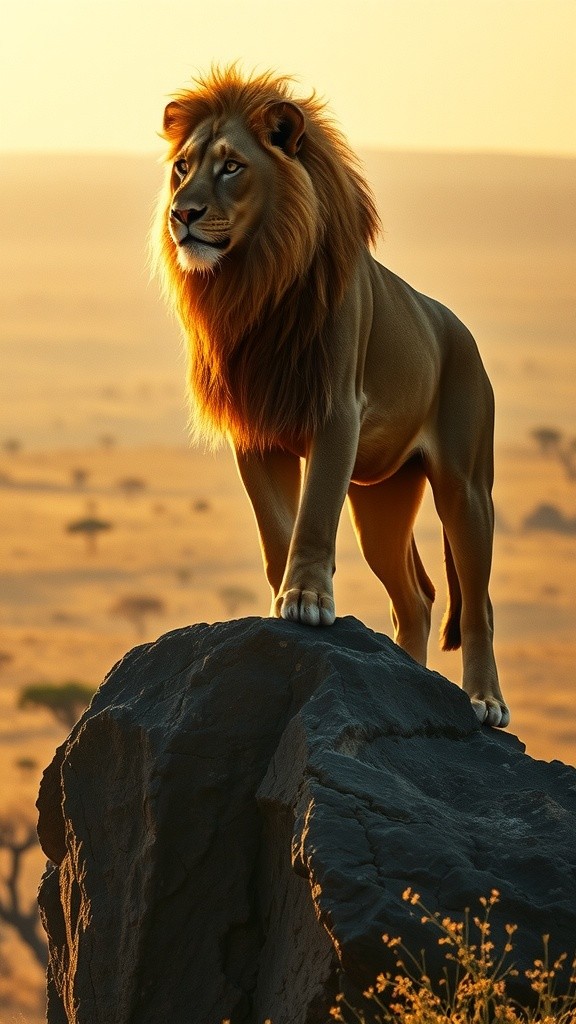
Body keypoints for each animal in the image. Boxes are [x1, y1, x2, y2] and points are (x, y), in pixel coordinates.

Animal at [153, 66, 509, 728]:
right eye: (182, 166)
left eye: (232, 166)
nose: (181, 213)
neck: (253, 280)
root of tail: (458, 329)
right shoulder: (255, 427)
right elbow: (277, 527)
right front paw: (283, 598)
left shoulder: (336, 409)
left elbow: (315, 512)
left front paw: (308, 600)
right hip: (383, 498)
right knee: (417, 598)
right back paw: (413, 684)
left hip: (467, 486)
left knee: (477, 604)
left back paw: (483, 702)